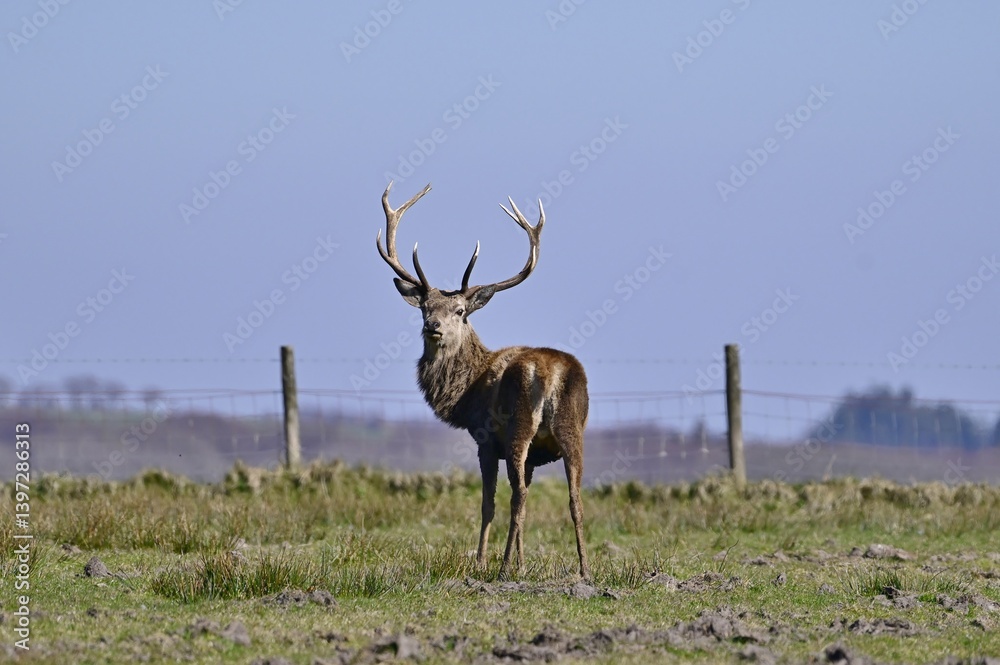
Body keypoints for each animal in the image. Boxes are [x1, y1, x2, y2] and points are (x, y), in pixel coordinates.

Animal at [375, 182, 590, 581]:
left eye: (460, 311)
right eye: (425, 308)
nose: (433, 327)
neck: (466, 391)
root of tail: (551, 373)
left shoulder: (485, 438)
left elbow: (487, 503)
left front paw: (481, 562)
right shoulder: (535, 456)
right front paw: (522, 562)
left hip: (519, 426)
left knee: (517, 496)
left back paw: (502, 569)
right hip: (572, 430)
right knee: (574, 497)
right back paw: (584, 571)